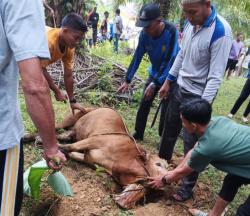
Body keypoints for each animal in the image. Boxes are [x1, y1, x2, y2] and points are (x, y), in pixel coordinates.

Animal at [26, 108, 168, 209]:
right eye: (158, 164)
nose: (165, 180)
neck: (120, 161)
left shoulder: (88, 158)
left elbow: (69, 151)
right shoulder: (93, 140)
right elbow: (68, 147)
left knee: (65, 135)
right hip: (71, 118)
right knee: (56, 128)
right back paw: (29, 137)